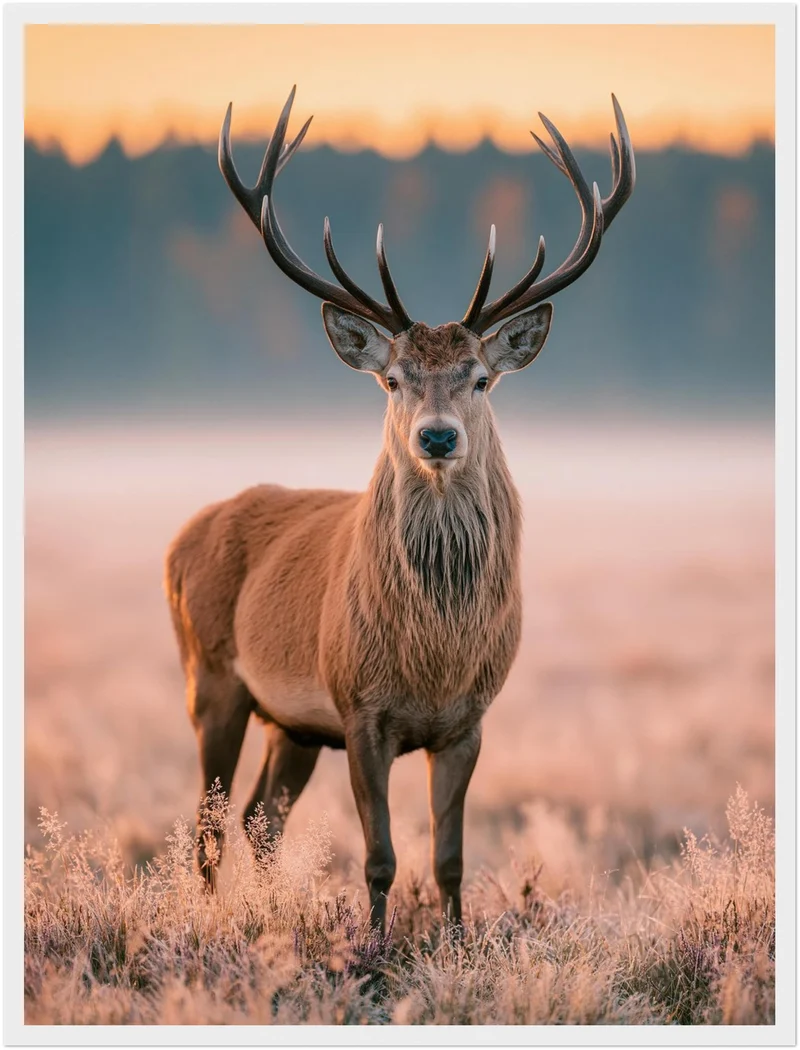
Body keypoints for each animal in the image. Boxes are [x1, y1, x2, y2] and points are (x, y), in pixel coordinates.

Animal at [165, 86, 635, 932]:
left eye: (481, 377)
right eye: (393, 379)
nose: (437, 435)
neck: (433, 657)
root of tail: (180, 540)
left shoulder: (470, 720)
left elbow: (449, 858)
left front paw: (453, 937)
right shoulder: (360, 708)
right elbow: (379, 856)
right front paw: (376, 945)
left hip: (292, 724)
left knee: (258, 819)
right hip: (209, 675)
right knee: (210, 823)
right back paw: (210, 919)